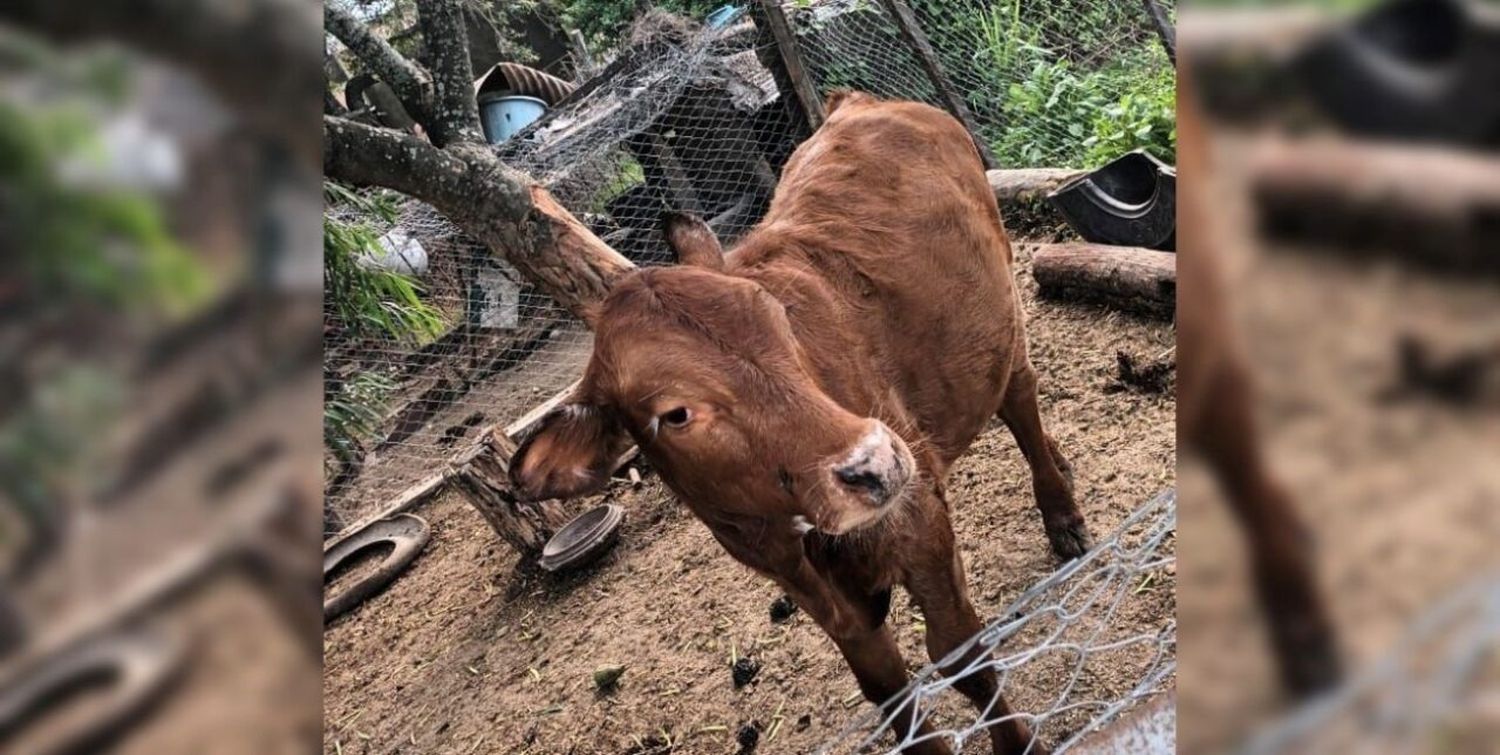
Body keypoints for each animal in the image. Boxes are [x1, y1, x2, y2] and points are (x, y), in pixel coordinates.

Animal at [510, 94, 1086, 755]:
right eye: (675, 414)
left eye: (780, 322)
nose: (876, 464)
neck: (798, 532)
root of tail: (858, 102)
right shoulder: (807, 588)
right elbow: (890, 692)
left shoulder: (917, 520)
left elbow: (959, 653)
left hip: (997, 319)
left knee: (1019, 401)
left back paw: (1062, 514)